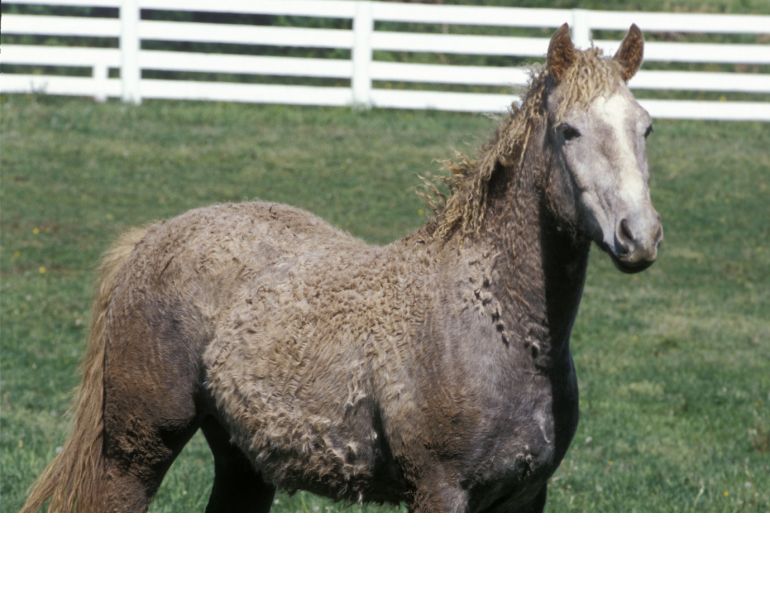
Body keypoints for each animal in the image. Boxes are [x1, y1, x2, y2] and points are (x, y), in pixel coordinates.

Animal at [22, 24, 662, 512]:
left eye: (645, 127)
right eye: (568, 131)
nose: (639, 236)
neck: (492, 320)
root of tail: (153, 235)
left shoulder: (526, 497)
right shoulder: (440, 491)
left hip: (242, 461)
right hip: (138, 449)